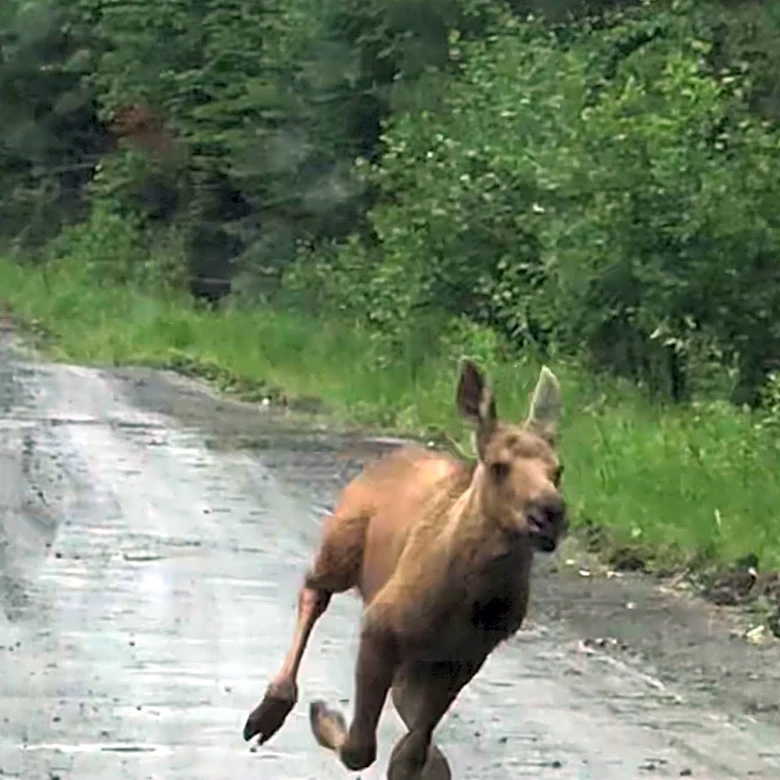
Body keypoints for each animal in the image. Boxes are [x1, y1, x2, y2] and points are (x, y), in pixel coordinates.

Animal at [242, 359, 567, 779]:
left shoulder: (465, 656)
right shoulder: (381, 626)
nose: (550, 513)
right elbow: (361, 748)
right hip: (342, 544)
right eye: (498, 466)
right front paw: (326, 717)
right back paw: (273, 708)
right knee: (315, 590)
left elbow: (413, 749)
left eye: (558, 470)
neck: (470, 598)